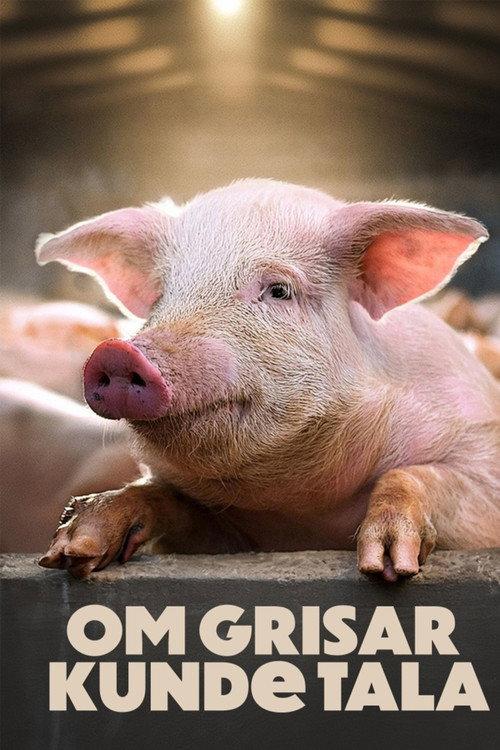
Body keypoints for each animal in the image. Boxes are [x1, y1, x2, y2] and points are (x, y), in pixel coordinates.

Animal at [35, 179, 500, 581]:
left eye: (278, 290)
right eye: (162, 296)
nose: (117, 352)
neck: (301, 512)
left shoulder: (481, 457)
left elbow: (414, 476)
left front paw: (387, 567)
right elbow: (163, 498)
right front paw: (71, 549)